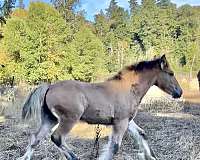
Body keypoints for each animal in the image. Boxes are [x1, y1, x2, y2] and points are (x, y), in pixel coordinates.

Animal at [17, 54, 183, 159]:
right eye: (171, 73)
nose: (179, 92)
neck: (128, 88)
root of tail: (49, 87)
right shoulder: (120, 122)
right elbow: (114, 147)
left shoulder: (127, 121)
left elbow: (142, 134)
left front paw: (151, 157)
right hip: (69, 119)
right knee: (57, 137)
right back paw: (74, 157)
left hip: (50, 119)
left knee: (36, 138)